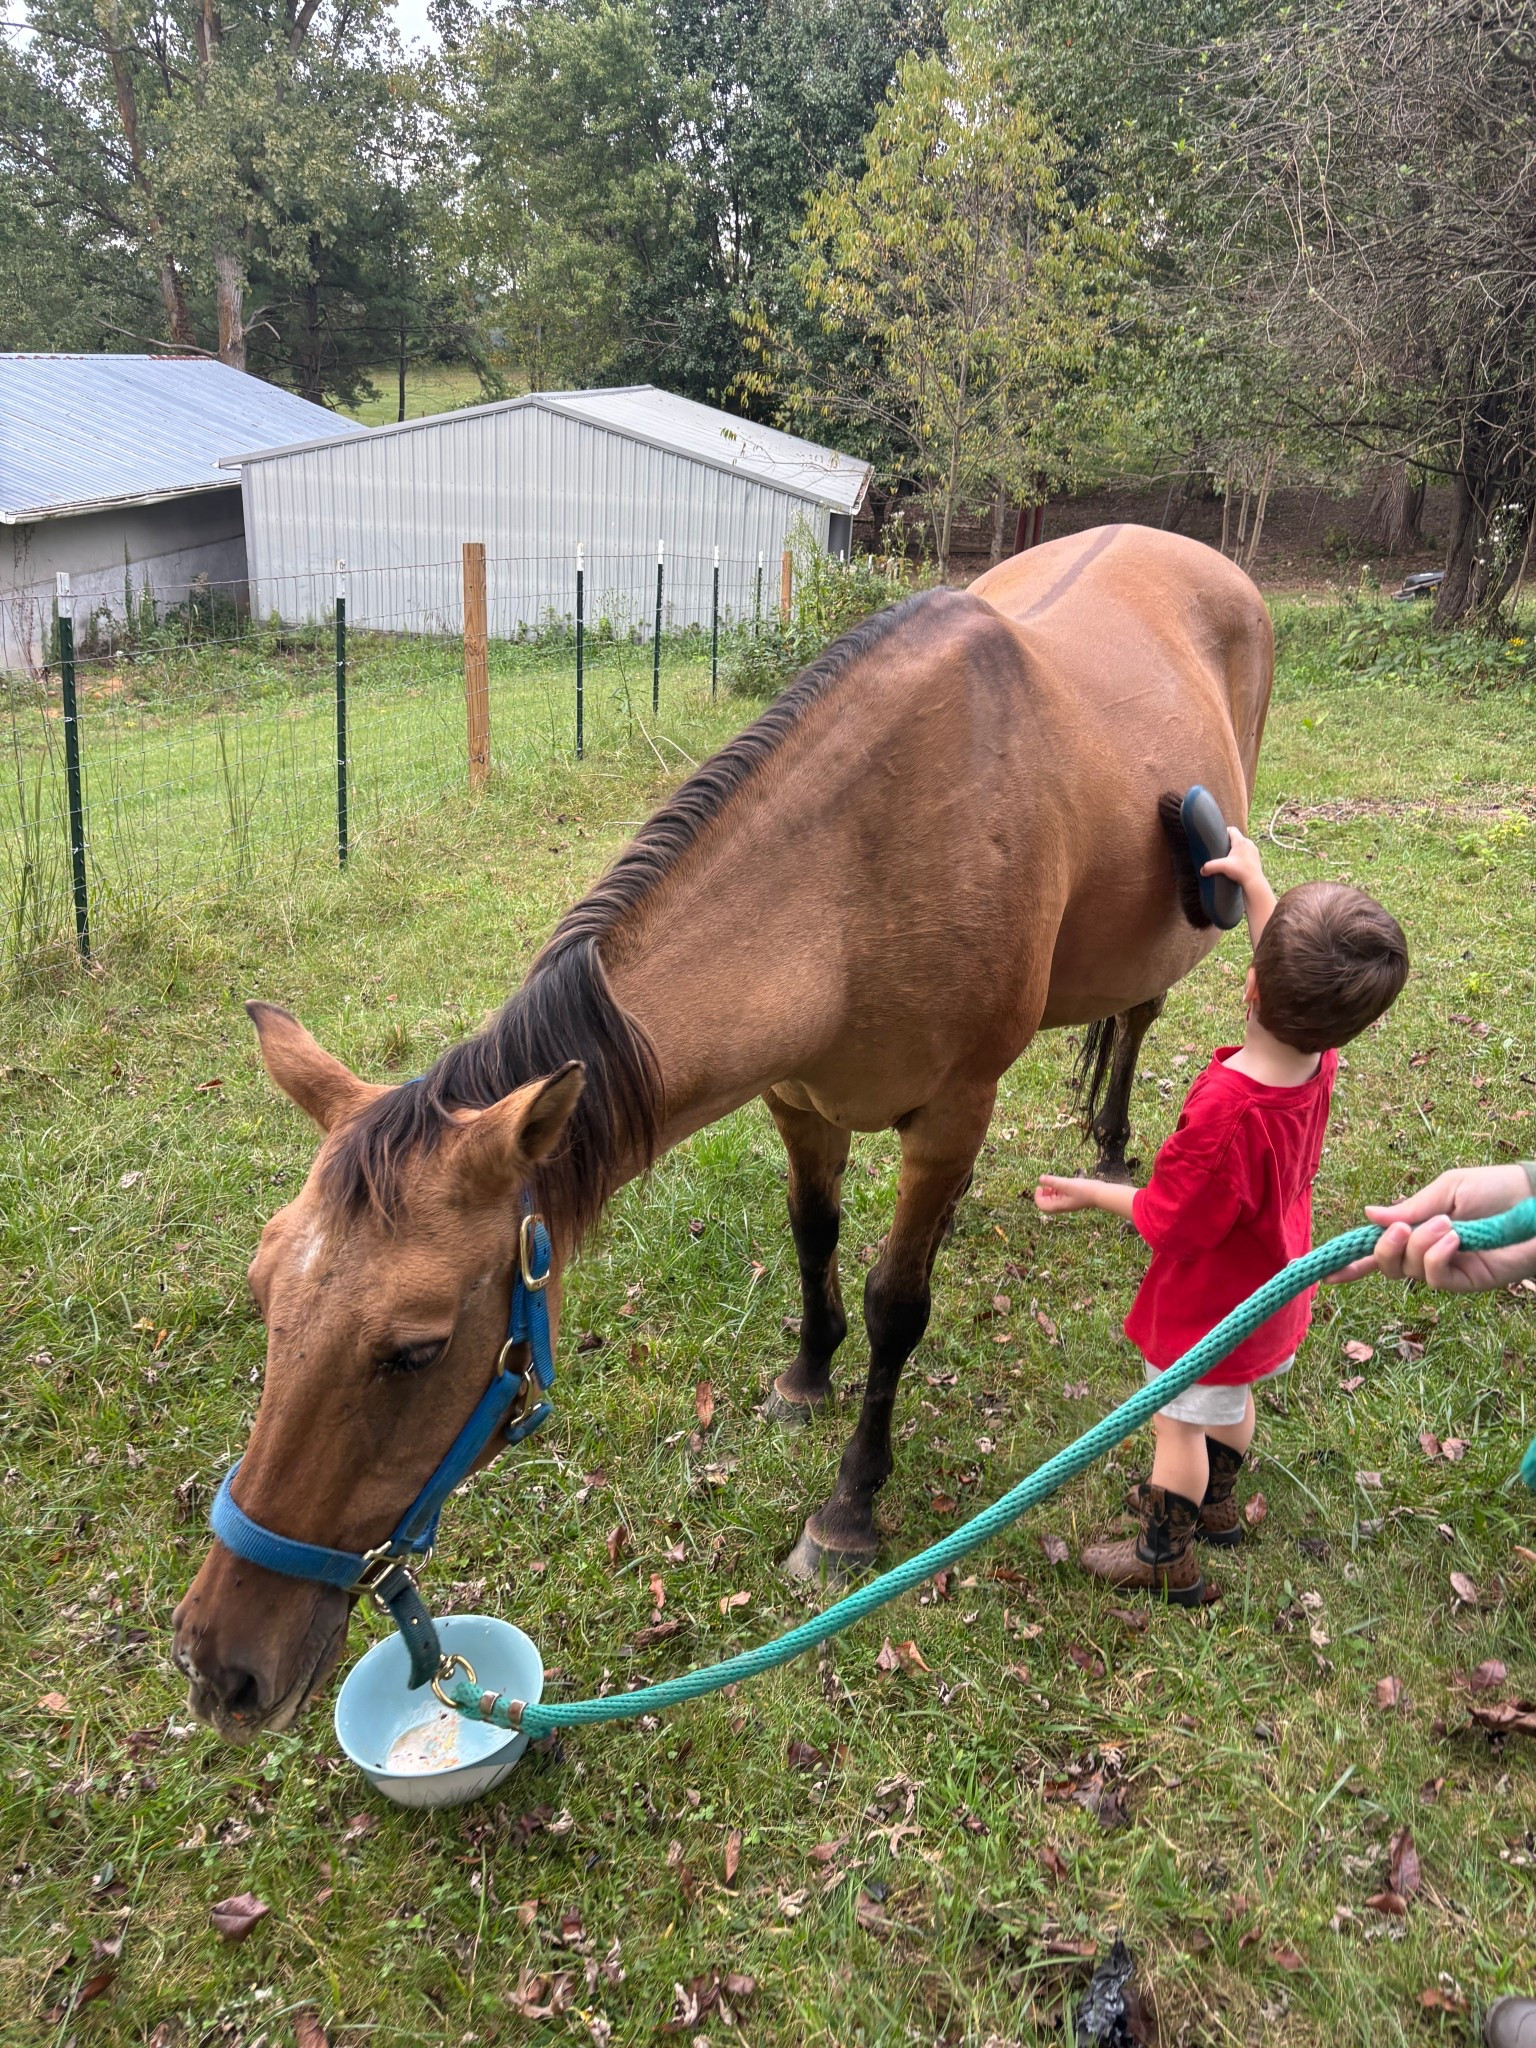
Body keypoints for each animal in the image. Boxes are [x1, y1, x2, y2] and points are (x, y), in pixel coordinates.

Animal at [173, 524, 1272, 1740]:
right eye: (265, 1292)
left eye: (413, 1349)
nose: (217, 1665)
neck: (860, 872)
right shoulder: (798, 1100)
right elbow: (813, 1238)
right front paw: (804, 1376)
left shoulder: (952, 1114)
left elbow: (896, 1306)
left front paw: (848, 1508)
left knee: (1139, 1013)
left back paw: (1116, 1144)